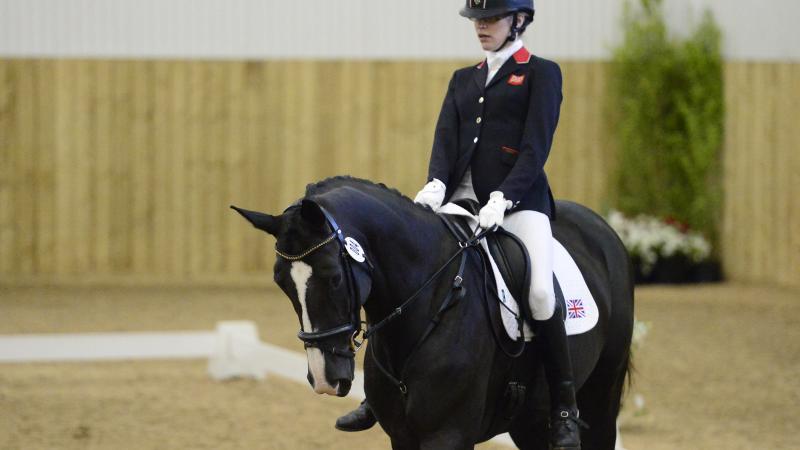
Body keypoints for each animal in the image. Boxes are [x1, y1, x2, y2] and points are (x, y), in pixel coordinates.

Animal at [231, 177, 632, 450]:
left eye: (333, 277)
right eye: (281, 282)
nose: (324, 378)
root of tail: (601, 227)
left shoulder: (448, 435)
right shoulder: (402, 435)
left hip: (601, 397)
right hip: (531, 419)